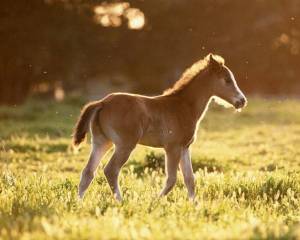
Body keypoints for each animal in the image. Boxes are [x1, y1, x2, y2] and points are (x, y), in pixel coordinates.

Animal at [72, 53, 246, 201]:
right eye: (227, 80)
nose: (242, 101)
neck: (183, 106)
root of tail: (102, 102)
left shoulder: (184, 147)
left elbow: (190, 179)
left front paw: (194, 205)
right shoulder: (172, 147)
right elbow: (172, 179)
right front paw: (155, 201)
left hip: (102, 142)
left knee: (88, 172)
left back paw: (79, 202)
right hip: (125, 145)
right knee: (111, 170)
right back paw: (120, 201)